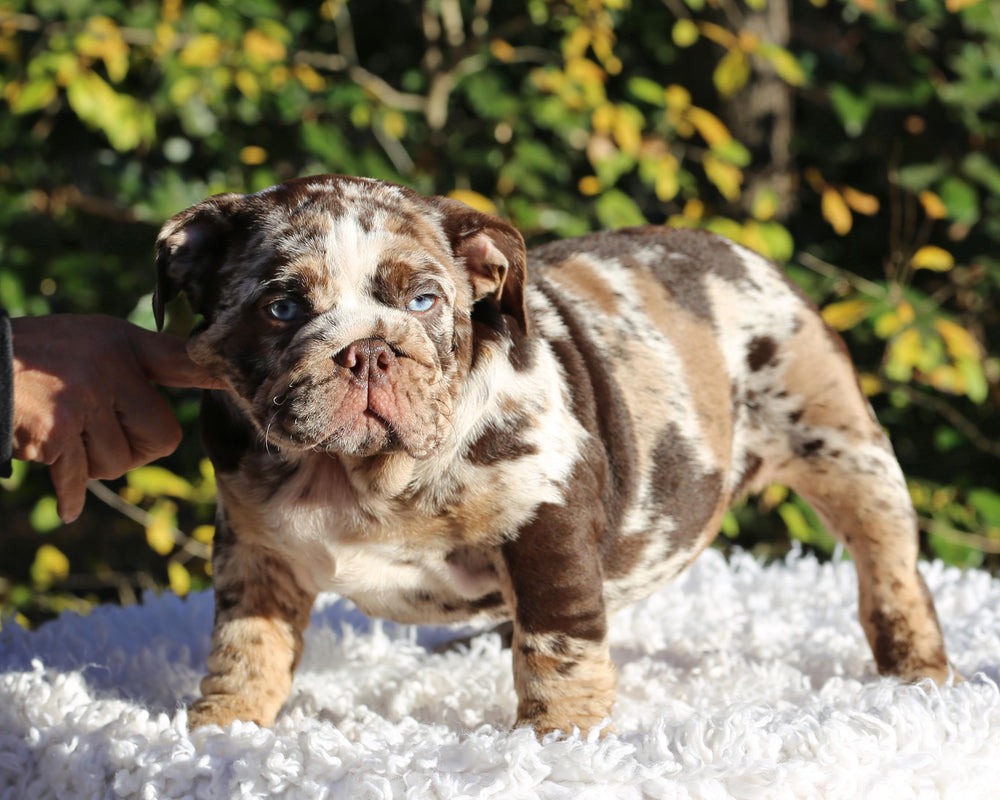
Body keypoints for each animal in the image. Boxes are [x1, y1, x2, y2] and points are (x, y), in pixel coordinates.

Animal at [156, 175, 952, 736]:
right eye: (281, 308)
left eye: (423, 302)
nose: (370, 350)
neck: (361, 476)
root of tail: (741, 252)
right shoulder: (256, 552)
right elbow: (246, 643)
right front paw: (225, 726)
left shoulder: (546, 523)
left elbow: (556, 641)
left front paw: (559, 737)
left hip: (845, 451)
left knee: (890, 570)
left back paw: (919, 672)